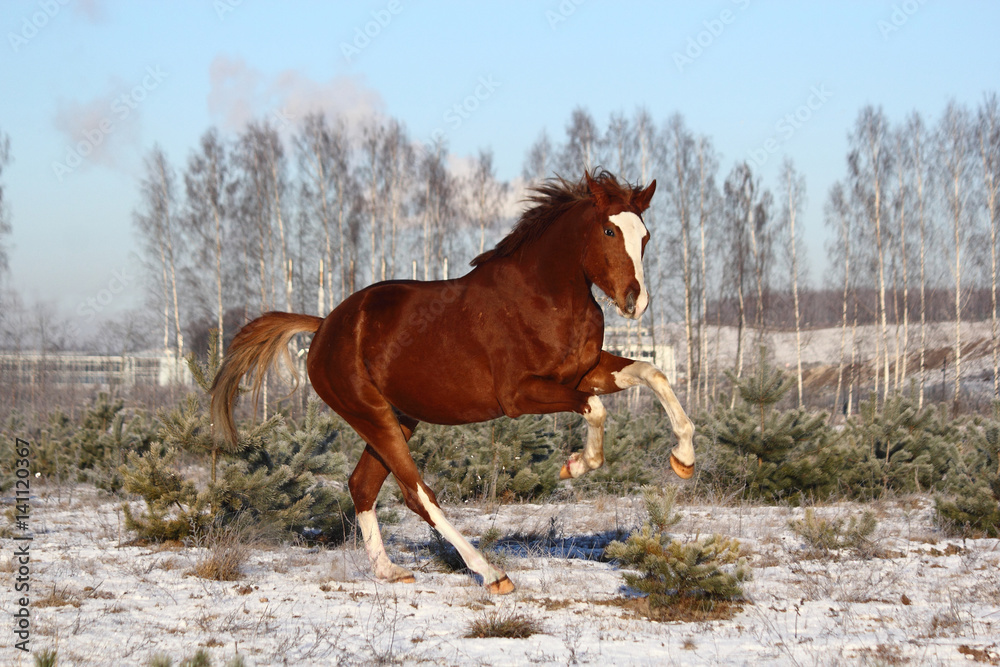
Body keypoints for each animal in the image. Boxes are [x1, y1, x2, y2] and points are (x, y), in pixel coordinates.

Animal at [210, 169, 695, 595]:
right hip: (371, 414)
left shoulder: (585, 372)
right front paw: (576, 465)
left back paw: (389, 571)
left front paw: (683, 459)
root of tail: (326, 325)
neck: (546, 297)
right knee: (417, 494)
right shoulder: (519, 395)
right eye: (610, 232)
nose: (635, 303)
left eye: (645, 237)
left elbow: (653, 373)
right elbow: (595, 408)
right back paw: (491, 573)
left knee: (362, 485)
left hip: (399, 417)